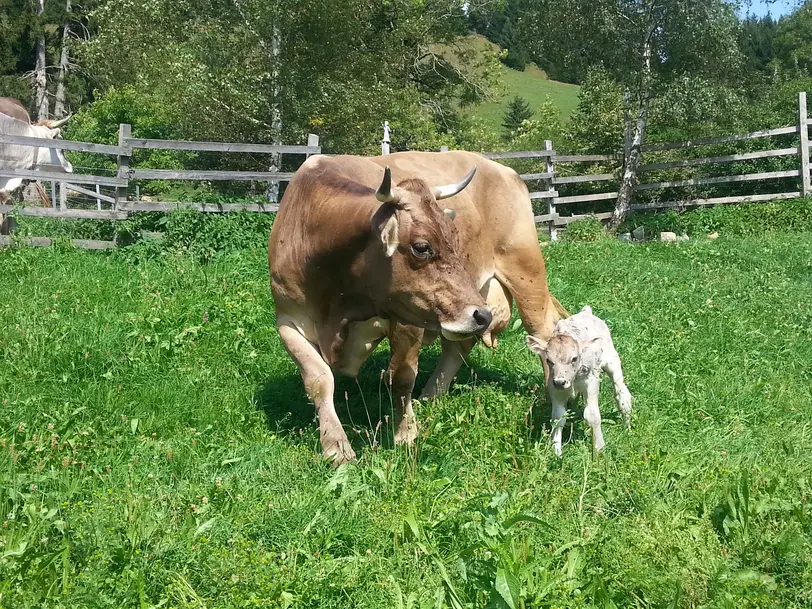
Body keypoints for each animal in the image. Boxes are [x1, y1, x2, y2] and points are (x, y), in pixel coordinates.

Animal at [270, 151, 568, 460]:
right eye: (422, 247)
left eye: (455, 238)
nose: (481, 315)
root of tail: (502, 168)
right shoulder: (287, 321)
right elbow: (318, 380)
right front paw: (335, 446)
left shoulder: (406, 320)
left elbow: (401, 377)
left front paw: (405, 434)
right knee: (457, 347)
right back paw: (431, 395)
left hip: (525, 272)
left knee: (544, 332)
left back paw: (553, 403)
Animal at [528, 306, 636, 454]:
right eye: (549, 360)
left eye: (574, 358)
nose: (560, 382)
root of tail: (586, 312)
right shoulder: (553, 385)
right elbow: (558, 417)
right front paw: (556, 451)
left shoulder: (591, 381)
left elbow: (592, 415)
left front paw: (599, 448)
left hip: (612, 360)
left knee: (621, 392)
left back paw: (627, 426)